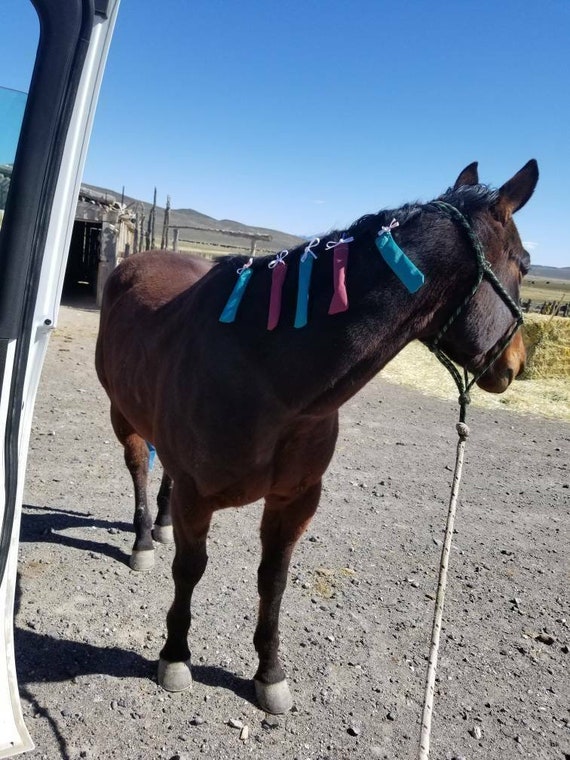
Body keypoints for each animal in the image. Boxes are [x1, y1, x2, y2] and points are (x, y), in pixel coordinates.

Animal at [95, 159, 538, 714]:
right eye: (525, 264)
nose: (517, 364)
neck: (267, 374)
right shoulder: (199, 498)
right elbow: (190, 570)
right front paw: (175, 656)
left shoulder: (296, 499)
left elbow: (273, 581)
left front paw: (269, 674)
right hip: (122, 415)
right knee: (138, 467)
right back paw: (141, 540)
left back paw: (161, 525)